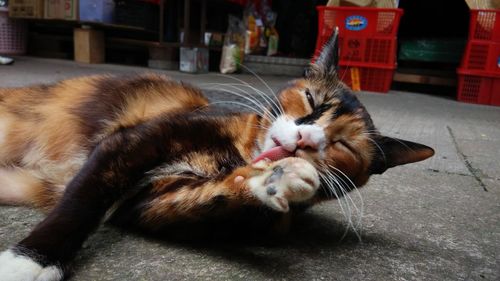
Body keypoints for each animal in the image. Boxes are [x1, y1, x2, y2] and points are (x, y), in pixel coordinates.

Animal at [0, 29, 432, 278]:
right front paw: (29, 261)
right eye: (313, 99)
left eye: (343, 145)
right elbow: (83, 200)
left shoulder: (149, 205)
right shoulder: (130, 143)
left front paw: (278, 181)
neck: (237, 151)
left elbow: (209, 199)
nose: (305, 138)